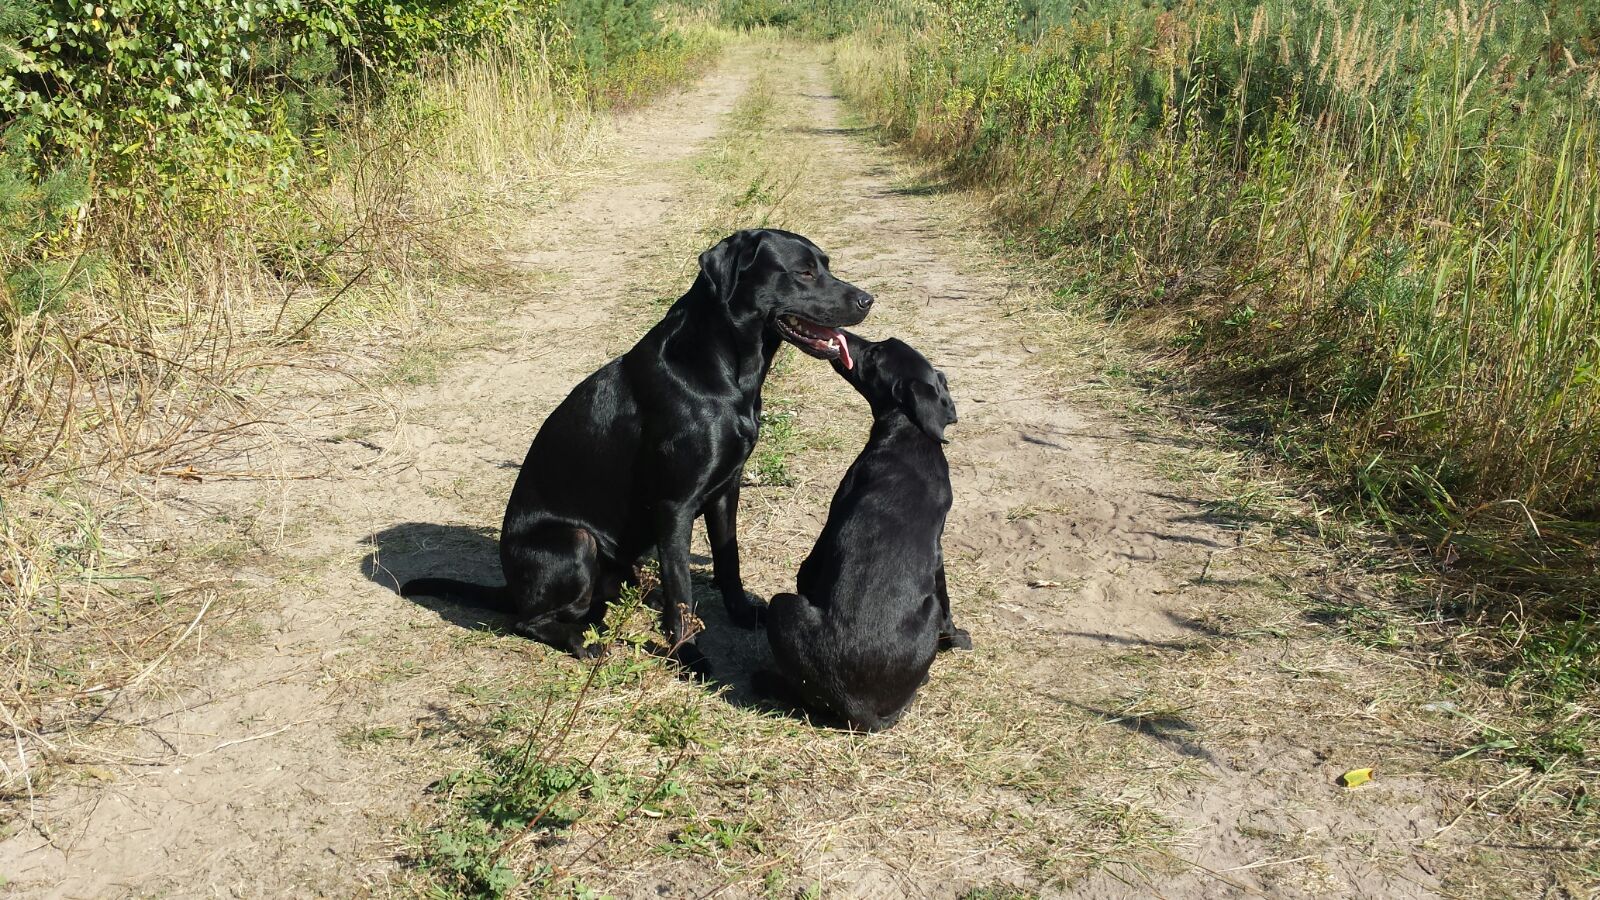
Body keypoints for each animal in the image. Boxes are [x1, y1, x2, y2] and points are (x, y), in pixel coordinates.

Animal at [400, 227, 876, 669]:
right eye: (804, 272)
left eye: (826, 265)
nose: (867, 300)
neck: (722, 368)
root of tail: (509, 587)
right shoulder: (675, 505)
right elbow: (682, 592)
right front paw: (690, 658)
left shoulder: (727, 488)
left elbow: (729, 561)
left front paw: (741, 614)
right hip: (576, 542)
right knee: (529, 620)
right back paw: (582, 642)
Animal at [764, 329, 972, 730]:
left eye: (875, 355)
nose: (844, 337)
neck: (910, 435)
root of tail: (857, 707)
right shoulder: (938, 553)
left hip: (782, 605)